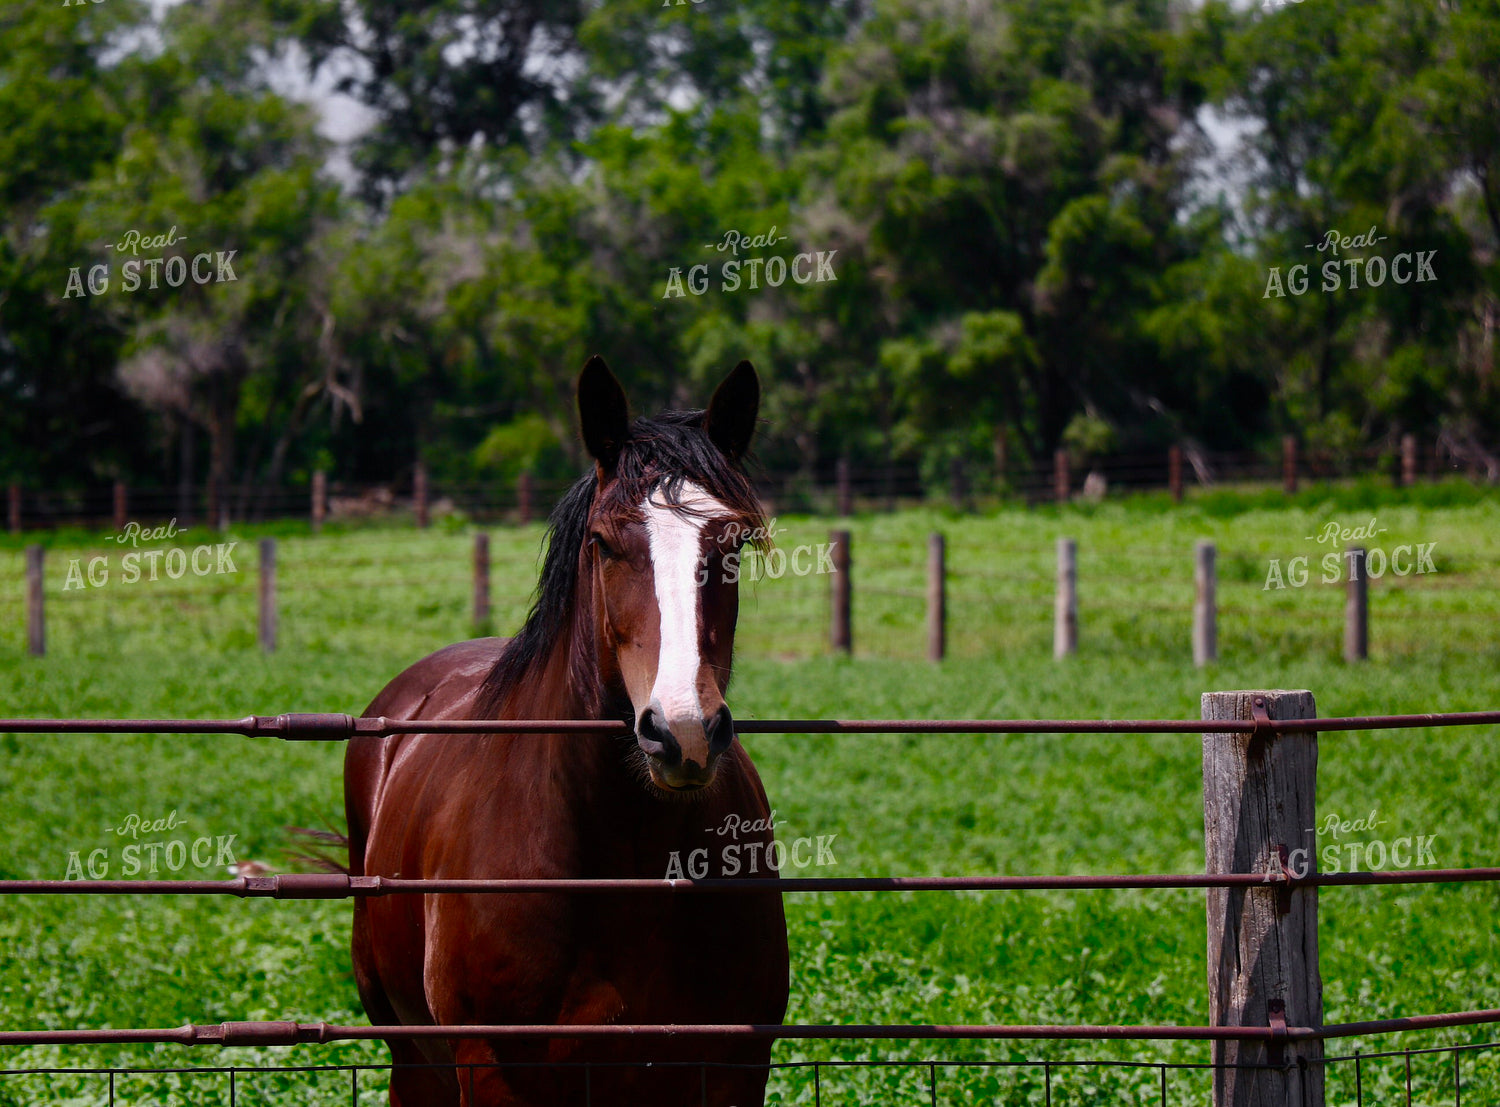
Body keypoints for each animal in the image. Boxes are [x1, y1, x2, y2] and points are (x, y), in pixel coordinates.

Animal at [344, 356, 791, 1107]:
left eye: (731, 546)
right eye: (604, 543)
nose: (683, 732)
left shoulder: (733, 1070)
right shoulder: (492, 1069)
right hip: (411, 1061)